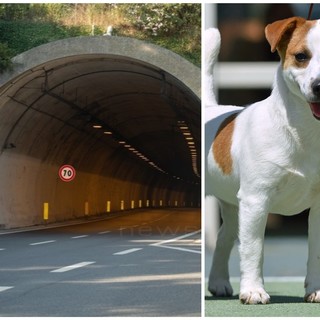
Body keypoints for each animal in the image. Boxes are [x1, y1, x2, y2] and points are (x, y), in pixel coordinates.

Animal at [206, 16, 320, 304]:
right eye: (301, 56)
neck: (303, 132)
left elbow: (315, 252)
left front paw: (315, 290)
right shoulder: (256, 200)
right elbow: (253, 249)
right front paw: (254, 291)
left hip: (234, 208)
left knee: (223, 238)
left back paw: (219, 282)